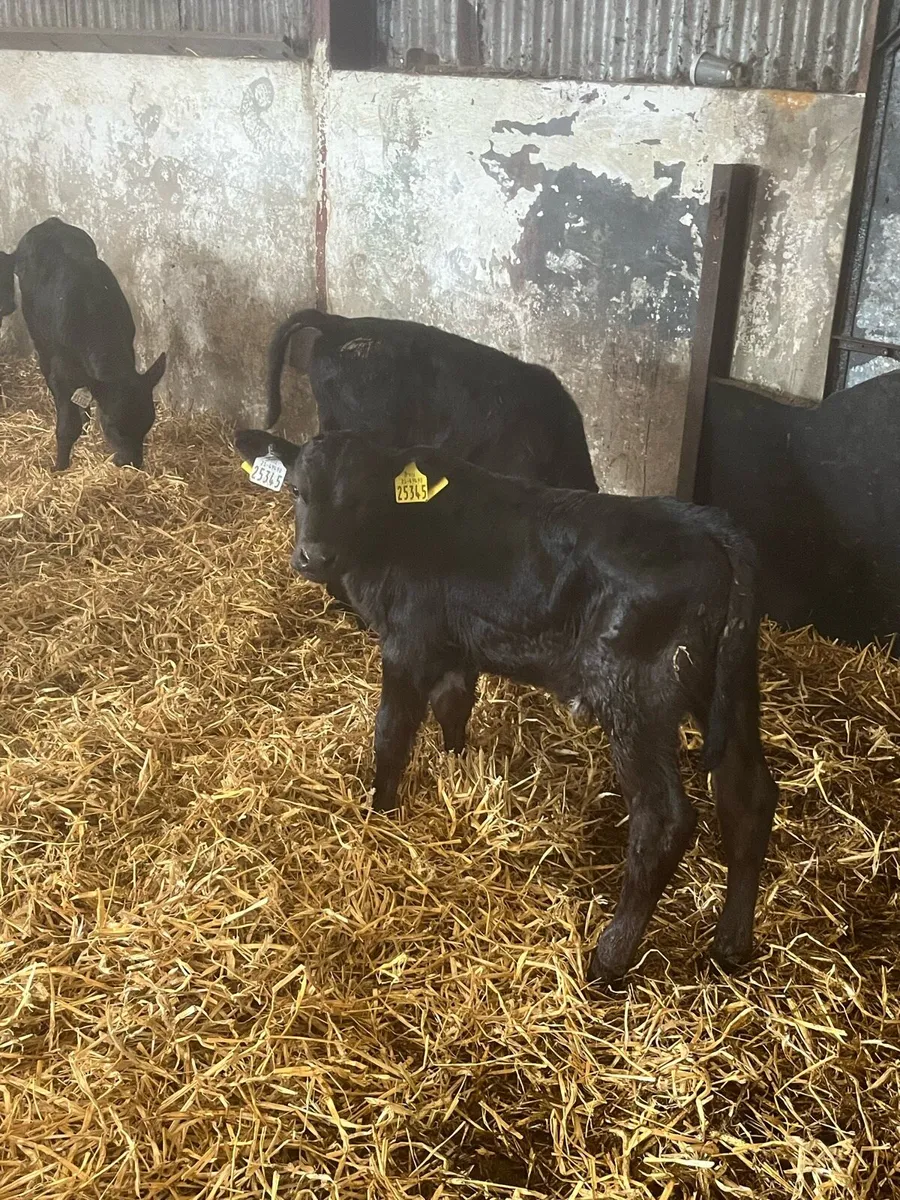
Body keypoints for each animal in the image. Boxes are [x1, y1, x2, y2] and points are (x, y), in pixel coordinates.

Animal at [4, 218, 166, 470]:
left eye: (147, 424)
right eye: (112, 427)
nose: (131, 463)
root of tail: (50, 222)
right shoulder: (62, 373)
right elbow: (67, 426)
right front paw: (60, 466)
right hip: (39, 337)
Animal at [233, 428, 779, 984]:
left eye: (360, 498)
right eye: (297, 490)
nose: (314, 557)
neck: (393, 533)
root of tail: (706, 525)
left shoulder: (408, 641)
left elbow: (391, 734)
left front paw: (379, 813)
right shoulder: (456, 644)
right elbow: (453, 704)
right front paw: (456, 767)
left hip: (635, 697)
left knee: (663, 820)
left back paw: (607, 960)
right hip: (729, 685)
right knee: (748, 793)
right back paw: (731, 944)